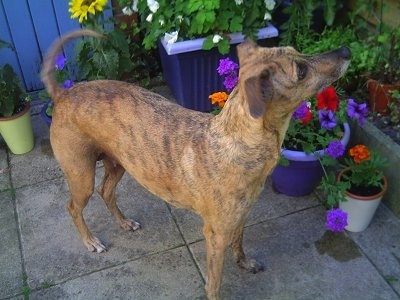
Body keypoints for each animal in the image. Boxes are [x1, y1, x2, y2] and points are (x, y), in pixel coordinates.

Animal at [41, 29, 350, 300]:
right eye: (301, 70)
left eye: (298, 51)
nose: (346, 50)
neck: (238, 139)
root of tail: (63, 94)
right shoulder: (215, 235)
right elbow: (214, 282)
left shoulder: (241, 215)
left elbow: (240, 243)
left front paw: (244, 263)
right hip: (81, 176)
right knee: (73, 207)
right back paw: (90, 241)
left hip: (118, 164)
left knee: (106, 191)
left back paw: (124, 222)